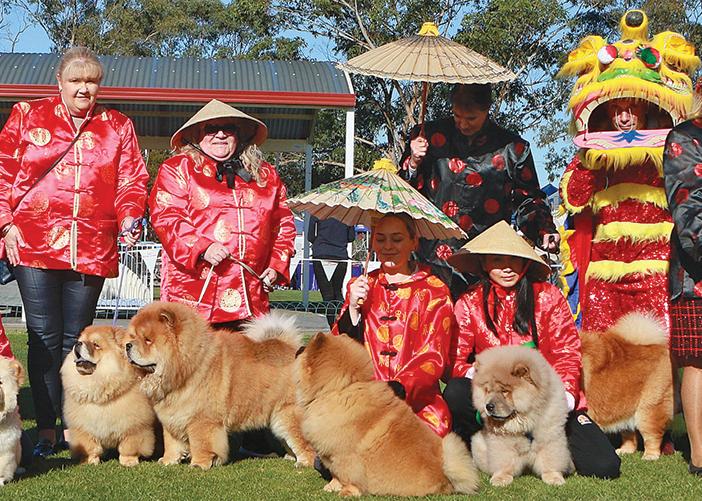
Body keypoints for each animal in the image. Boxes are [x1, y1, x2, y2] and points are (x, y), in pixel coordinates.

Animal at [61, 326, 157, 466]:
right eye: (80, 340)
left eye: (96, 345)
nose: (77, 343)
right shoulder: (83, 428)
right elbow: (91, 447)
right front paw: (90, 462)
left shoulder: (135, 427)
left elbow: (129, 448)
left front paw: (129, 462)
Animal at [123, 301, 315, 470]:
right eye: (133, 337)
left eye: (148, 340)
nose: (127, 345)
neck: (190, 366)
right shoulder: (172, 417)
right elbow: (172, 443)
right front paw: (168, 461)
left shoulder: (202, 420)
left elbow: (201, 444)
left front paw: (199, 464)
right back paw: (290, 456)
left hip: (287, 415)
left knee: (305, 444)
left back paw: (303, 463)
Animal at [295, 332, 479, 497]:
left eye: (306, 348)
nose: (300, 348)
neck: (340, 389)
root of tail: (445, 477)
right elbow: (336, 474)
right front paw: (331, 487)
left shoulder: (344, 454)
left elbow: (346, 475)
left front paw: (346, 492)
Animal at [471, 345, 573, 486]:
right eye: (487, 390)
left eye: (504, 391)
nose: (488, 406)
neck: (525, 419)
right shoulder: (502, 441)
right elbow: (503, 461)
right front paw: (501, 478)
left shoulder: (550, 435)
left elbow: (550, 459)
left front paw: (553, 477)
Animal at [580, 312, 672, 460]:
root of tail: (659, 347)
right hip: (624, 407)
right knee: (630, 435)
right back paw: (624, 451)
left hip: (649, 408)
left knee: (653, 435)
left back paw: (649, 457)